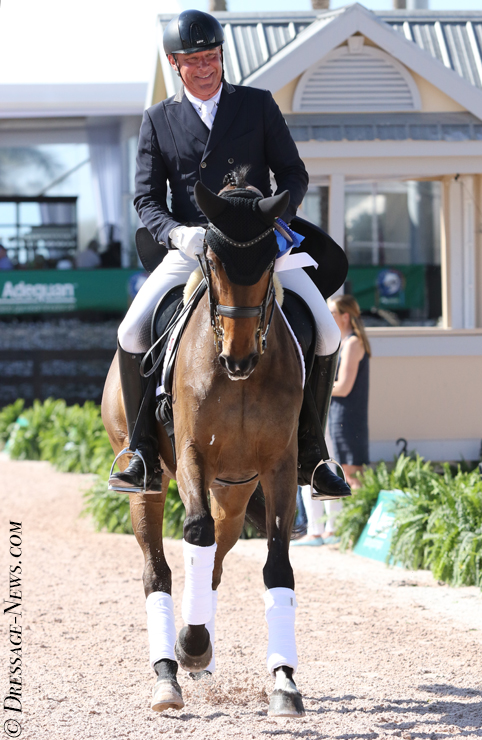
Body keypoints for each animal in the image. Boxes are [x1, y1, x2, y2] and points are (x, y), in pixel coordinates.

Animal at [101, 173, 306, 716]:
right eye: (211, 261)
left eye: (269, 262)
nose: (239, 358)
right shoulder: (193, 451)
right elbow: (194, 532)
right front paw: (189, 646)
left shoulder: (280, 464)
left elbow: (277, 563)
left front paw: (284, 682)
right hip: (149, 485)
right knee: (160, 569)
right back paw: (169, 672)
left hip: (234, 489)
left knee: (215, 559)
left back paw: (201, 653)